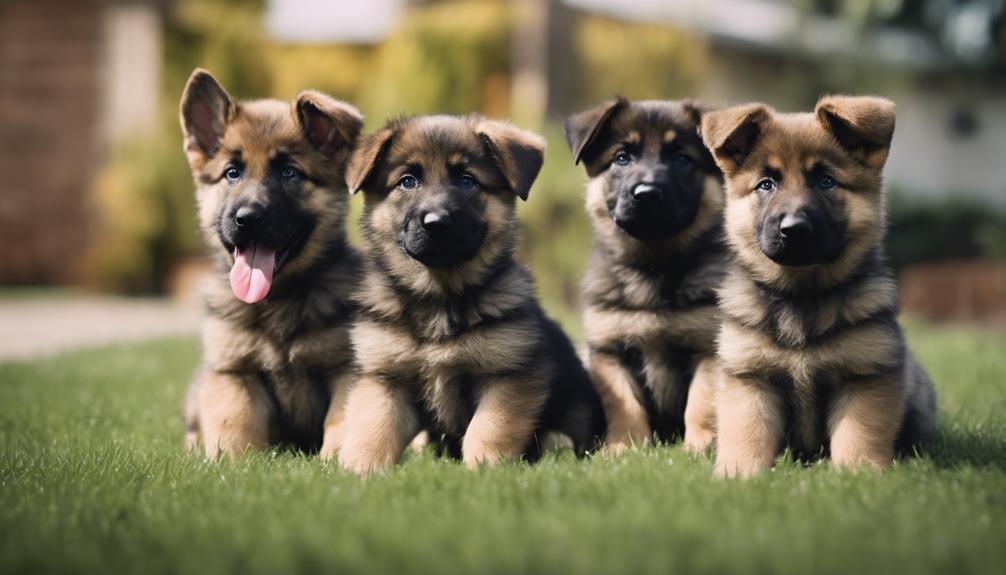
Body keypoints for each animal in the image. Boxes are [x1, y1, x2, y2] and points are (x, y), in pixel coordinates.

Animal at [179, 69, 364, 460]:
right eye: (232, 173)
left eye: (290, 173)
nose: (247, 218)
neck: (277, 300)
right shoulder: (233, 371)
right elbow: (233, 425)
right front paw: (230, 463)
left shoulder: (346, 369)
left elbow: (342, 421)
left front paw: (334, 462)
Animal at [338, 114, 603, 474]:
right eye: (407, 181)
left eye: (467, 181)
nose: (436, 223)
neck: (439, 297)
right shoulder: (384, 377)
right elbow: (372, 427)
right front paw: (358, 470)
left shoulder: (508, 376)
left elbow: (488, 429)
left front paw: (483, 470)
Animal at [567, 100, 724, 458]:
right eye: (622, 157)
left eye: (682, 158)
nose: (647, 194)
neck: (654, 267)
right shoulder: (609, 350)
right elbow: (624, 404)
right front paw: (623, 449)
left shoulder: (707, 346)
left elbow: (701, 402)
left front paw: (699, 448)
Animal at [700, 96, 933, 478]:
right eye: (766, 184)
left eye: (826, 181)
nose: (793, 229)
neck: (802, 296)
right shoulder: (750, 378)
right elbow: (747, 433)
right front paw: (738, 475)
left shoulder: (865, 375)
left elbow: (858, 436)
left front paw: (858, 476)